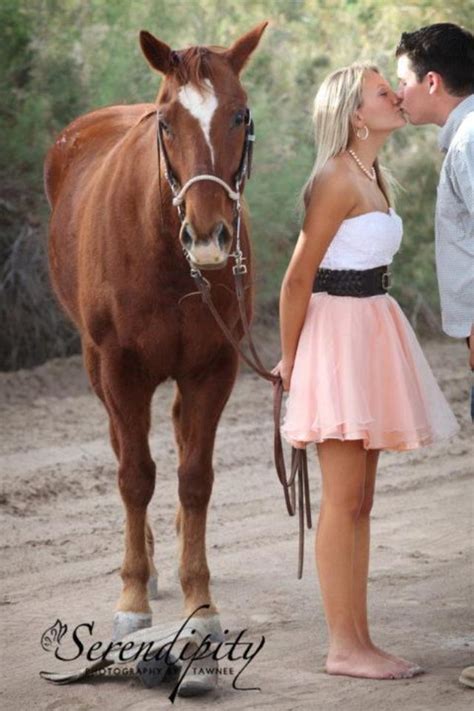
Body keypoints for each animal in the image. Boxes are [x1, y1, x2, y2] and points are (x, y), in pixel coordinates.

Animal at [44, 23, 268, 644]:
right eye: (166, 122)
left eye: (240, 114)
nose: (209, 236)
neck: (166, 251)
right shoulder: (120, 368)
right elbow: (135, 476)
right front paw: (133, 594)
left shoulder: (215, 366)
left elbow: (195, 476)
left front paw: (201, 600)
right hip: (98, 367)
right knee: (126, 449)